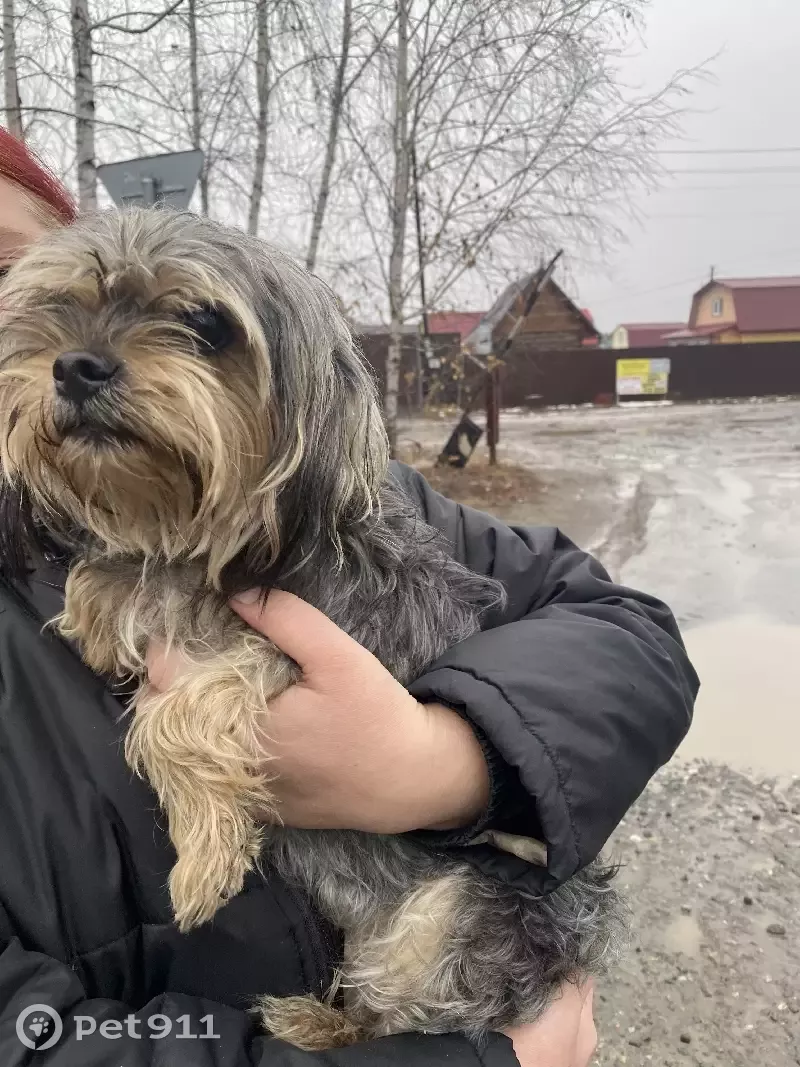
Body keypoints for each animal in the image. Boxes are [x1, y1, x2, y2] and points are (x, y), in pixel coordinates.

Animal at [0, 208, 627, 1049]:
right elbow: (113, 586)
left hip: (448, 917)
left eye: (205, 323)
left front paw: (204, 861)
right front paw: (101, 603)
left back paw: (317, 1022)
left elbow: (174, 717)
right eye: (62, 304)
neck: (214, 541)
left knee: (418, 1015)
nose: (73, 367)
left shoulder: (307, 641)